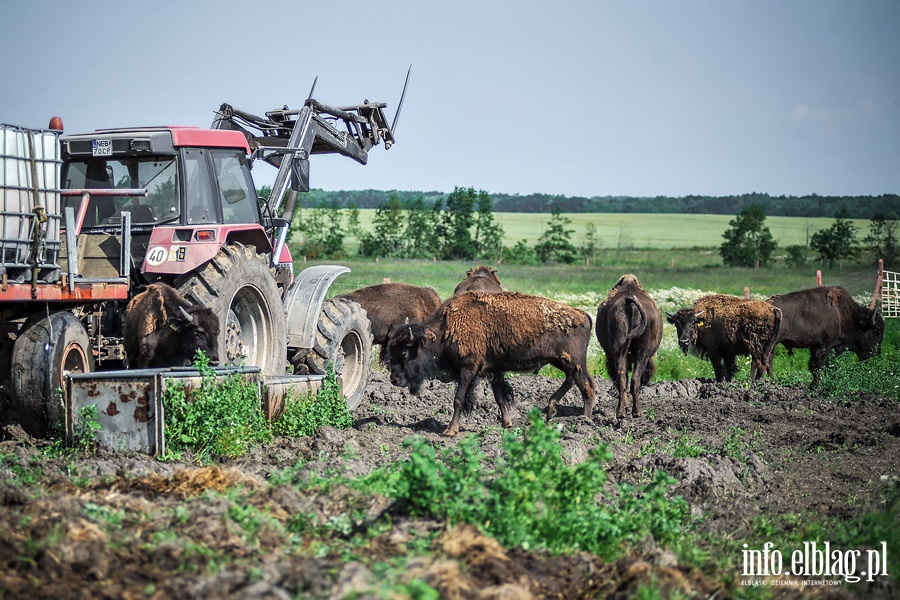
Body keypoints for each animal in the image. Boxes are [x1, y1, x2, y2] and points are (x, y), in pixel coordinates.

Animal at [386, 290, 596, 436]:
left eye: (403, 352)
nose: (394, 379)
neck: (446, 330)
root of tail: (582, 314)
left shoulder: (467, 370)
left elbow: (458, 399)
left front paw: (450, 430)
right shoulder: (494, 371)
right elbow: (500, 398)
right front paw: (507, 424)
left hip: (572, 361)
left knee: (586, 387)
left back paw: (584, 421)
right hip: (561, 361)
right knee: (572, 380)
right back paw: (551, 409)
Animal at [596, 274, 664, 420]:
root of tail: (630, 303)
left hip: (620, 352)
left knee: (622, 378)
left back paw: (621, 412)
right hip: (642, 354)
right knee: (634, 379)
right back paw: (637, 412)